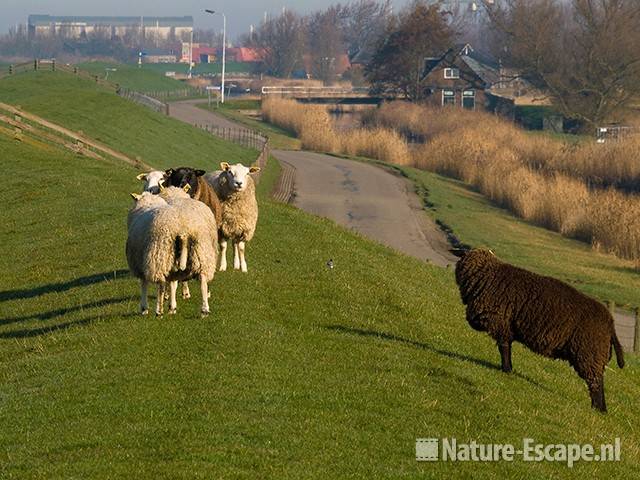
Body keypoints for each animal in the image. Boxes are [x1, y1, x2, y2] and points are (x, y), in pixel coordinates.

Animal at [456, 248, 624, 412]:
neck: (487, 274)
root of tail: (610, 323)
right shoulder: (505, 326)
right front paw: (508, 369)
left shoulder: (501, 323)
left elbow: (504, 348)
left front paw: (506, 369)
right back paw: (601, 409)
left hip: (588, 353)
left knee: (596, 382)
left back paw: (598, 408)